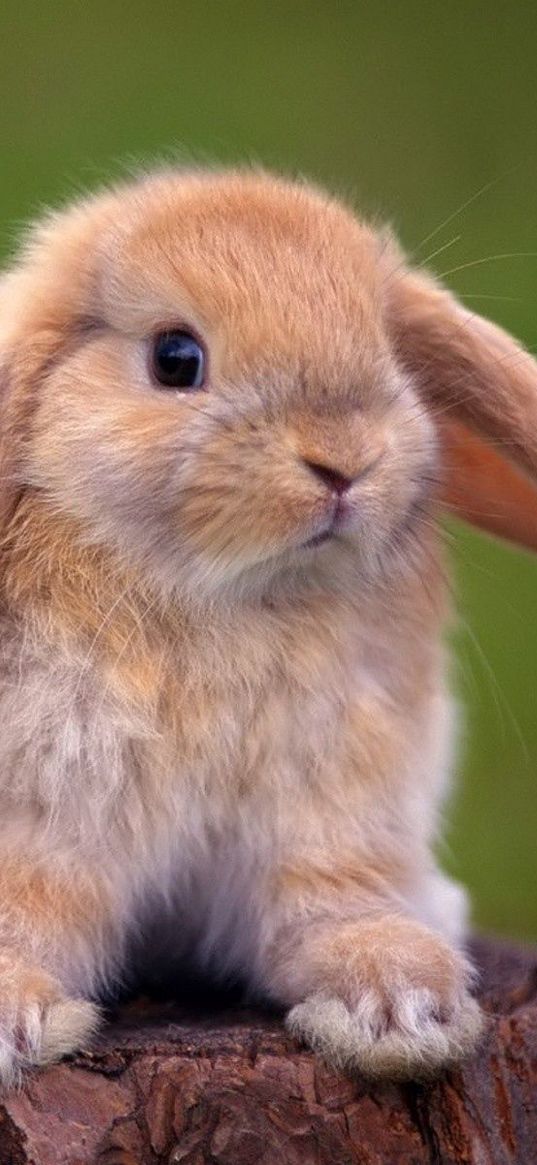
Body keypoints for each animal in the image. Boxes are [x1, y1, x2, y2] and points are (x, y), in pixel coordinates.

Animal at [0, 166, 535, 1090]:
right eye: (175, 358)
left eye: (387, 349)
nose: (344, 460)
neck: (228, 595)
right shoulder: (48, 818)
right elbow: (33, 908)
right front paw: (12, 1014)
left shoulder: (329, 814)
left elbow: (326, 907)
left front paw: (400, 1006)